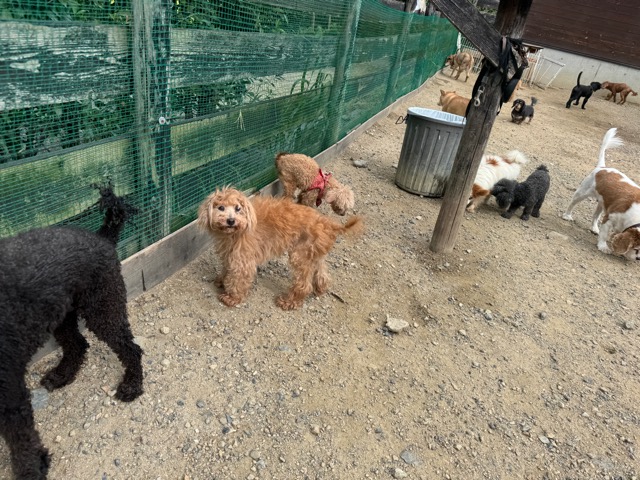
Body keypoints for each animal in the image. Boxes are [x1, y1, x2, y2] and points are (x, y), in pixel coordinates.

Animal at [0, 186, 143, 480]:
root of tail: (100, 236)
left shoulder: (10, 394)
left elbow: (22, 441)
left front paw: (32, 470)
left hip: (102, 308)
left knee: (130, 347)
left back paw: (132, 385)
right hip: (62, 314)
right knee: (78, 344)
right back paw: (62, 375)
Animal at [197, 187, 364, 310]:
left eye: (238, 209)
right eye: (221, 207)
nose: (231, 221)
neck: (234, 232)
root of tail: (329, 224)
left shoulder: (243, 259)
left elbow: (238, 279)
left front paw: (231, 298)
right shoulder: (230, 253)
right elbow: (226, 268)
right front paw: (221, 280)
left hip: (299, 255)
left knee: (304, 285)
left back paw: (288, 302)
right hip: (314, 252)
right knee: (322, 272)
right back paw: (320, 288)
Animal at [562, 128, 640, 260]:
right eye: (636, 249)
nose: (638, 258)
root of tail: (602, 167)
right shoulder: (609, 218)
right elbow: (604, 234)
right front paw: (603, 246)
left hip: (602, 203)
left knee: (595, 216)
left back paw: (594, 228)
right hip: (582, 193)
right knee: (572, 203)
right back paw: (567, 215)